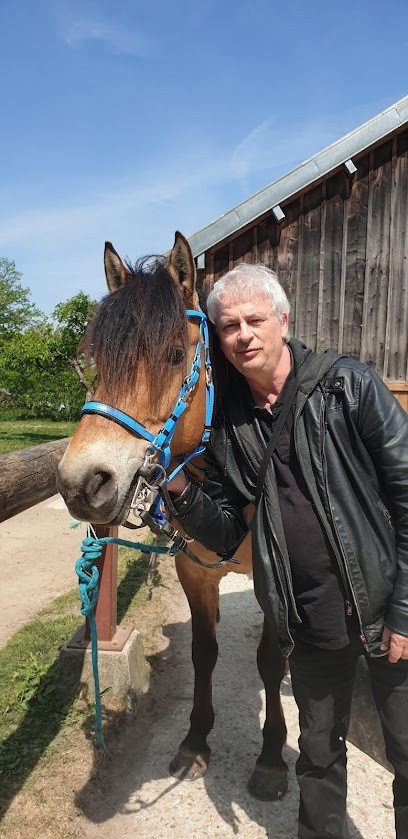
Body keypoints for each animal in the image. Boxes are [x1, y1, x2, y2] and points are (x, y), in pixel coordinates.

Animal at [57, 231, 288, 800]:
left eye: (175, 354)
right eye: (94, 360)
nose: (81, 483)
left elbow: (271, 661)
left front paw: (272, 759)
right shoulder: (194, 572)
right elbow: (204, 651)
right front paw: (195, 741)